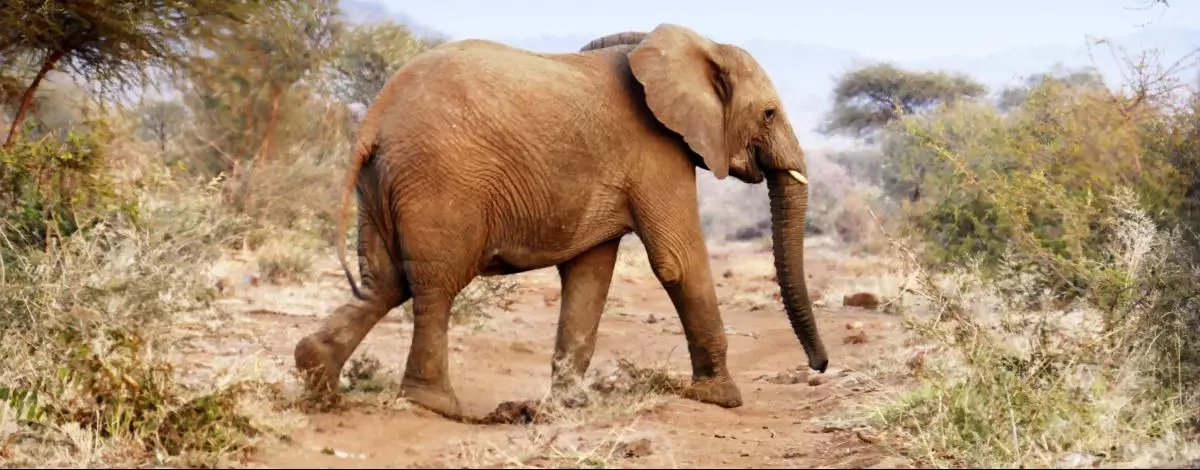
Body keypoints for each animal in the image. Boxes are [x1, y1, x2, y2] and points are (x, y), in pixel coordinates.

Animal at [295, 22, 830, 419]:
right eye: (768, 113)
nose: (819, 367)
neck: (693, 46)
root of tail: (377, 115)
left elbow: (589, 276)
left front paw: (569, 407)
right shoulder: (657, 151)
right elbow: (678, 261)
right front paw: (721, 399)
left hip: (381, 181)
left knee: (384, 283)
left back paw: (318, 381)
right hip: (440, 179)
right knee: (434, 285)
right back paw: (435, 406)